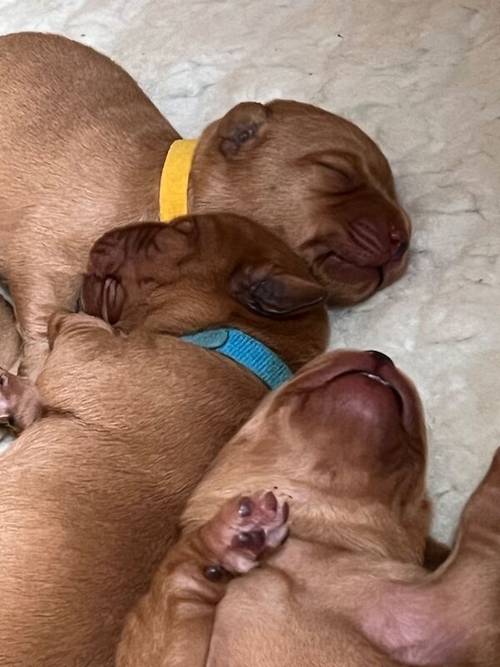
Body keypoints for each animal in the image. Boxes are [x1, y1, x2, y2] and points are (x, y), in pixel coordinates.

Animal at [0, 214, 328, 667]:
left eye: (181, 231)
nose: (105, 235)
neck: (236, 338)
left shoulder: (90, 357)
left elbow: (72, 323)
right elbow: (33, 401)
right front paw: (9, 393)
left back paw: (232, 537)